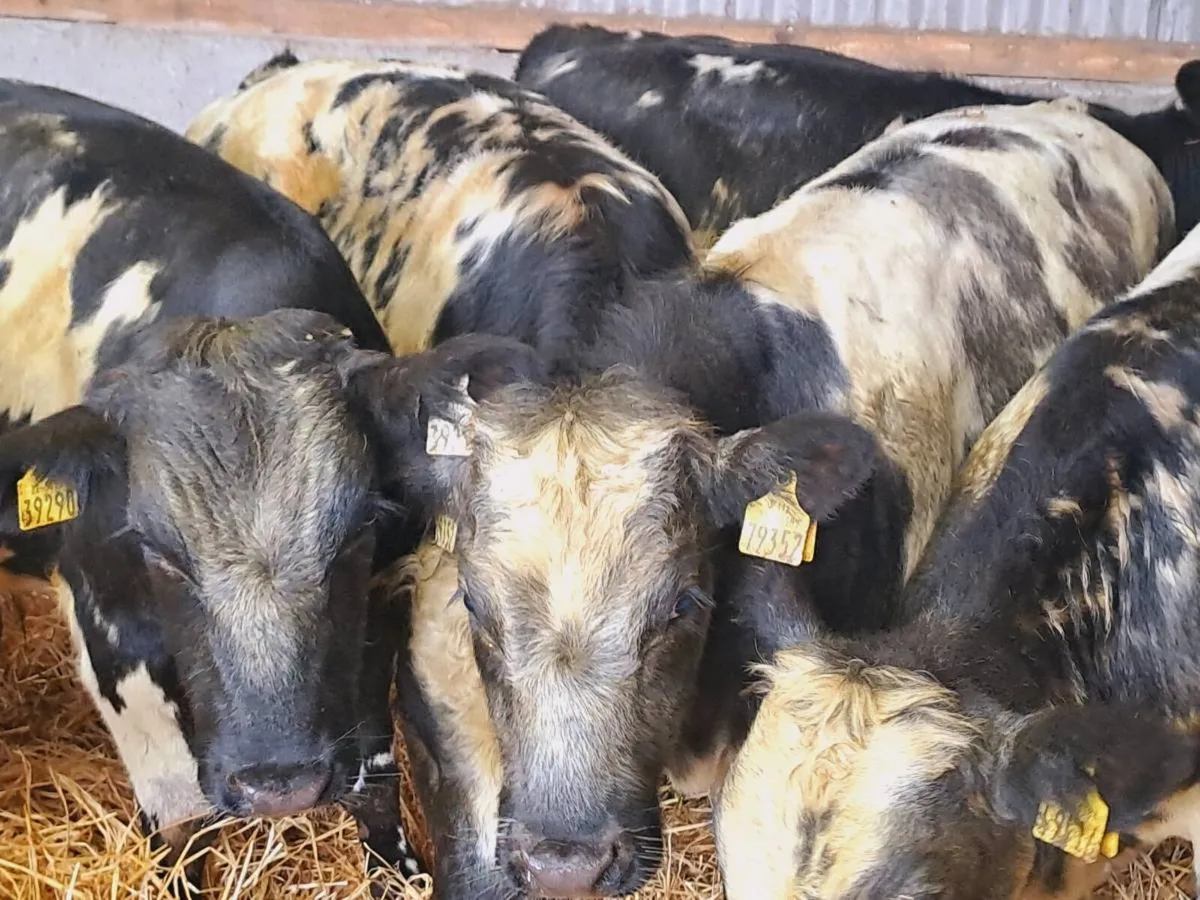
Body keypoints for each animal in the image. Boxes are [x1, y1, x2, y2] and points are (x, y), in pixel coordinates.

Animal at [0, 78, 545, 895]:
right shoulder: (111, 622)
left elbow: (375, 774)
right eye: (155, 549)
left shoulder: (378, 602)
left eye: (356, 529)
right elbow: (178, 813)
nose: (278, 783)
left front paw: (396, 869)